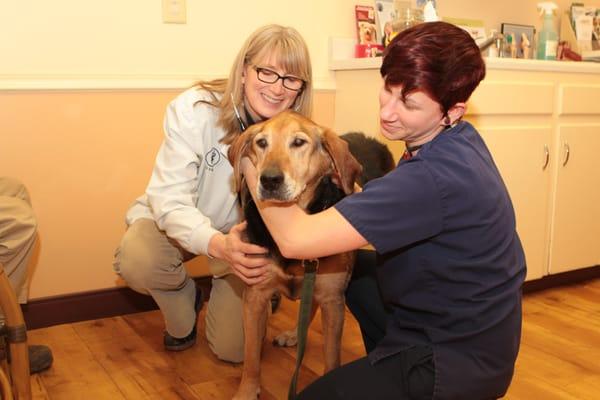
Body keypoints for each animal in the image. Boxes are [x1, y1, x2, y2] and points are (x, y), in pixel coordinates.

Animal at [229, 110, 360, 400]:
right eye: (261, 143)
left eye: (298, 142)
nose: (269, 179)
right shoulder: (255, 297)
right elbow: (251, 358)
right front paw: (247, 391)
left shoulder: (333, 299)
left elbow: (332, 359)